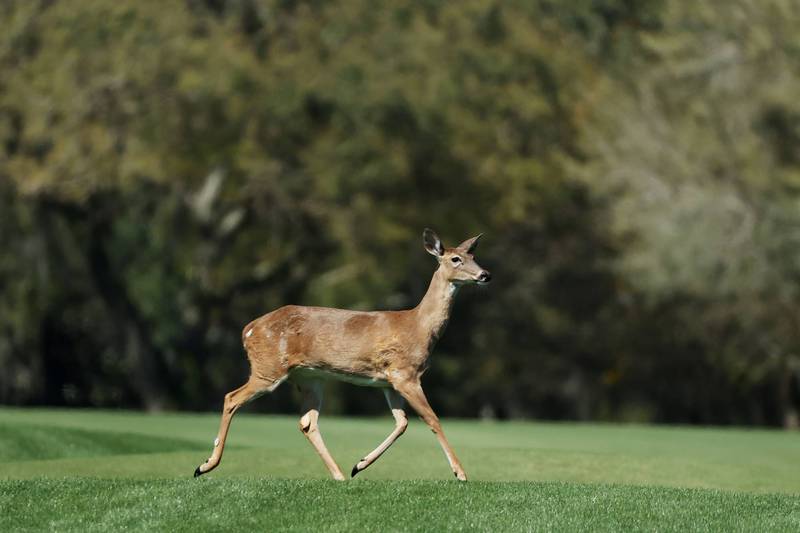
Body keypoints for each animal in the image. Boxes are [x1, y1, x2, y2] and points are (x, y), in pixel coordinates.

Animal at [194, 227, 490, 480]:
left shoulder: (389, 381)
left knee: (307, 421)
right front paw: (460, 473)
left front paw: (359, 464)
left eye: (473, 256)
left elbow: (402, 423)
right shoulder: (405, 373)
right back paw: (205, 465)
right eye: (455, 259)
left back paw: (338, 474)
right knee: (231, 397)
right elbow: (431, 419)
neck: (418, 326)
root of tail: (248, 330)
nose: (485, 274)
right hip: (269, 368)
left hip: (310, 378)